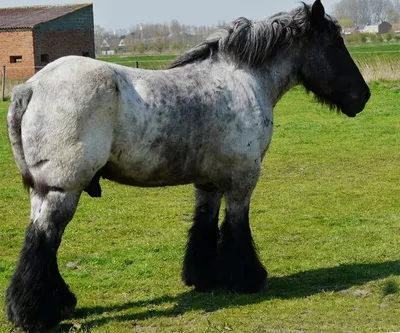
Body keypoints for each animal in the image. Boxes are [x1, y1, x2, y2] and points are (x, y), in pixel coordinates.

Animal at [5, 1, 368, 330]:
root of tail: (31, 87)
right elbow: (237, 227)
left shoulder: (209, 182)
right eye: (335, 43)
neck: (244, 80)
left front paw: (203, 277)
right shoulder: (243, 178)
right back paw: (36, 314)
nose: (362, 96)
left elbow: (204, 225)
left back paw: (55, 303)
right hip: (63, 190)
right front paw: (247, 279)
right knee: (43, 240)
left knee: (40, 242)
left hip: (46, 192)